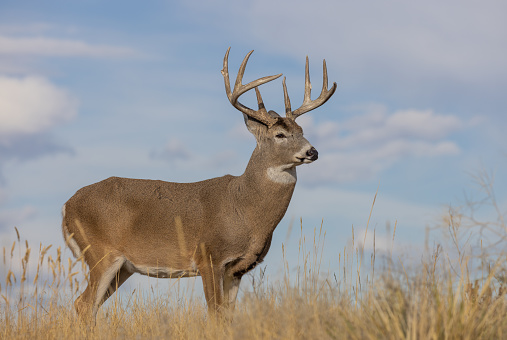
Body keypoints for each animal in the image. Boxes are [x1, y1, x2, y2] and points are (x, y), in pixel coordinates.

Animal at [62, 47, 338, 322]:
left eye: (301, 130)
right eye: (280, 135)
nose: (312, 151)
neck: (244, 208)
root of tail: (66, 206)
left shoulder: (237, 270)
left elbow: (227, 316)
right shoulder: (209, 257)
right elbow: (214, 315)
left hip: (123, 267)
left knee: (87, 305)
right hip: (101, 253)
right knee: (83, 304)